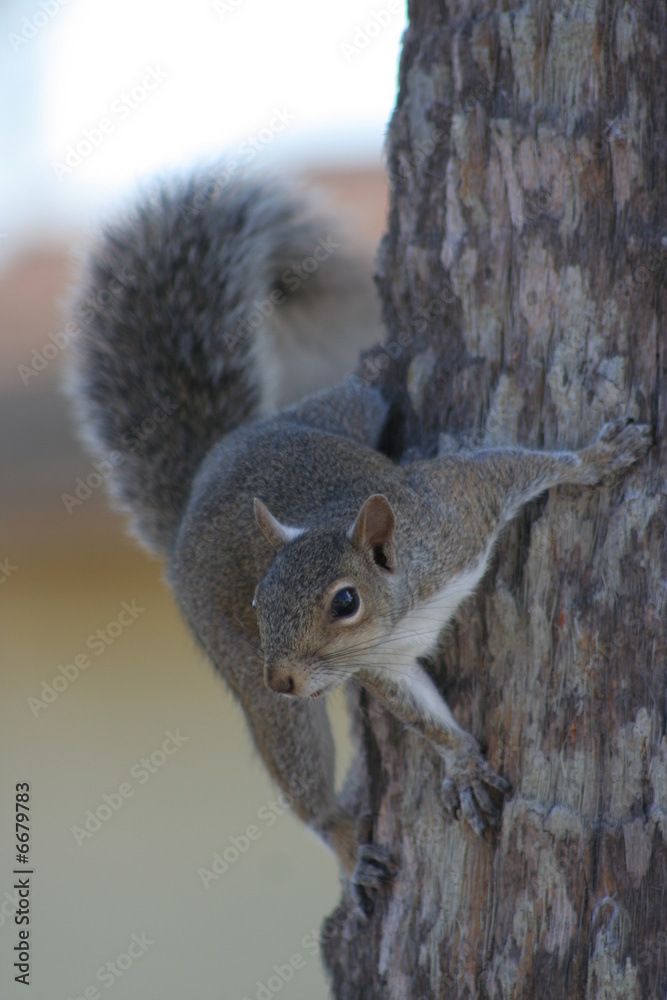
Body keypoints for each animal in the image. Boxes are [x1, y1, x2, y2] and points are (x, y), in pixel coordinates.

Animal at [68, 167, 652, 909]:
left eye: (344, 602)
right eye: (256, 602)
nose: (283, 677)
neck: (405, 605)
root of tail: (194, 498)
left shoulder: (457, 509)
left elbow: (521, 467)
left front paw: (597, 459)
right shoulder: (380, 662)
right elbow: (419, 712)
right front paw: (461, 765)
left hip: (349, 414)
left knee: (364, 395)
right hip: (252, 681)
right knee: (302, 778)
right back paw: (349, 847)